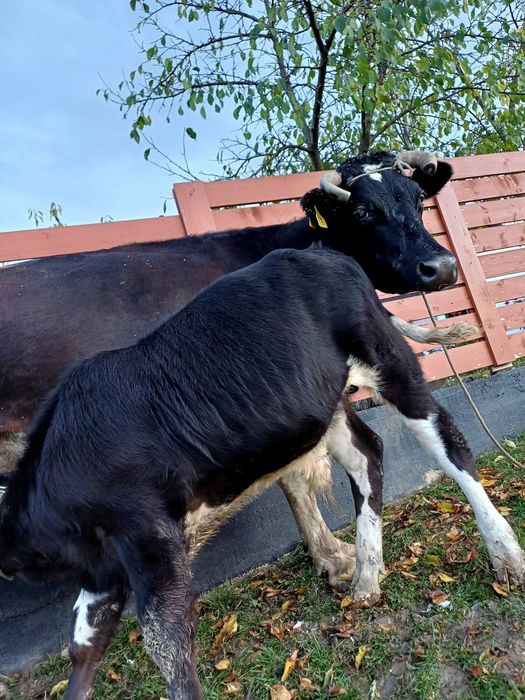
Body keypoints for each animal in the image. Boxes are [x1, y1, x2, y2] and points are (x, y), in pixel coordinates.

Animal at [0, 247, 522, 700]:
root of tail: (322, 252)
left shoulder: (150, 534)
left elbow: (166, 641)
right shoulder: (104, 566)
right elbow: (84, 645)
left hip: (388, 359)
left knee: (449, 442)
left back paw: (504, 553)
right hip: (326, 402)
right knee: (367, 455)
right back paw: (367, 576)